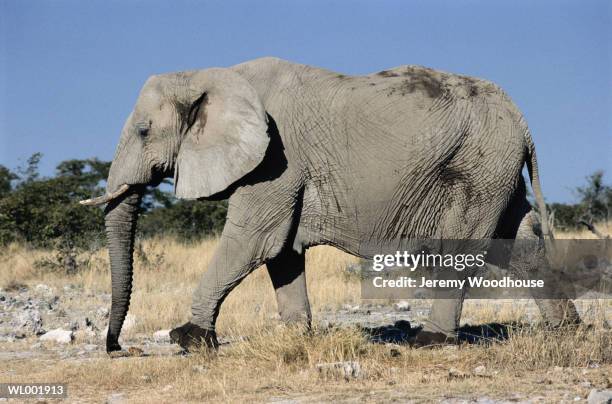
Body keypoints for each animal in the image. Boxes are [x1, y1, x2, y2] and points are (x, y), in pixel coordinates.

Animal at [80, 57, 580, 354]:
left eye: (143, 130)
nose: (115, 348)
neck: (211, 73)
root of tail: (524, 122)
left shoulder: (275, 160)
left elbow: (253, 241)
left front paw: (190, 339)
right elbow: (281, 252)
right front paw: (293, 337)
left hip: (477, 163)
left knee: (465, 250)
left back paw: (428, 340)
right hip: (493, 167)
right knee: (523, 242)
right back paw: (566, 330)